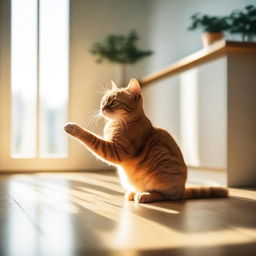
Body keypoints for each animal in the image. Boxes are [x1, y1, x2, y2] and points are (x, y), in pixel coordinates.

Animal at [64, 78, 228, 202]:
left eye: (114, 102)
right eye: (103, 101)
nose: (103, 108)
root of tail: (182, 189)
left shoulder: (115, 150)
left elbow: (90, 137)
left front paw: (72, 128)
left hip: (163, 163)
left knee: (168, 196)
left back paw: (145, 195)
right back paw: (133, 193)